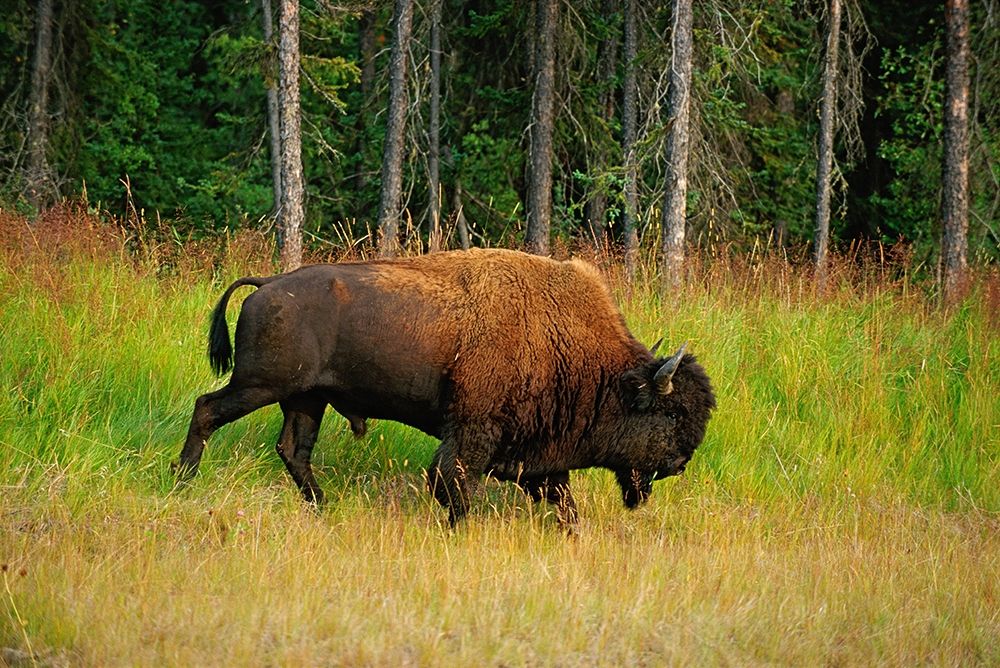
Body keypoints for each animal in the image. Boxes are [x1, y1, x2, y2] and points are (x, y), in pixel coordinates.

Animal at [175, 248, 715, 527]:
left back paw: (323, 506)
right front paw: (459, 528)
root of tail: (267, 283)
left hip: (306, 399)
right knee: (206, 409)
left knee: (293, 449)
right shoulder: (473, 430)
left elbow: (561, 499)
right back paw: (183, 480)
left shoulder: (536, 452)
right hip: (260, 385)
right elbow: (452, 483)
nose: (679, 463)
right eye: (671, 414)